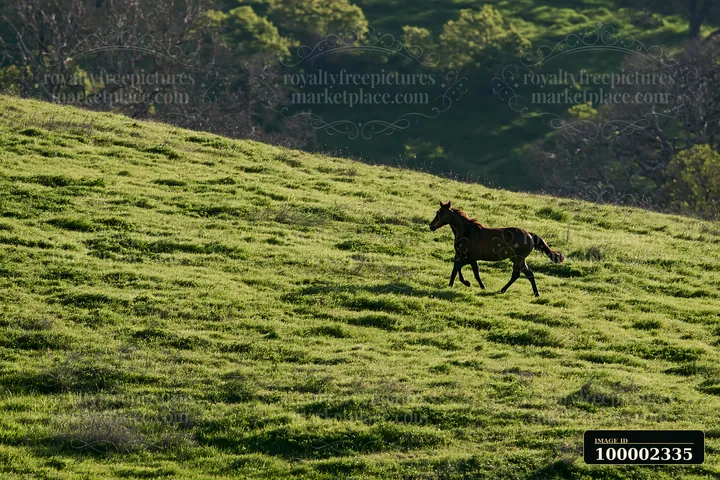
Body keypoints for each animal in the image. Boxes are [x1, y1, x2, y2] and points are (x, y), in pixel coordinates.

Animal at [428, 201, 565, 296]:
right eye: (437, 212)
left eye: (442, 213)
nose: (431, 226)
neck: (467, 233)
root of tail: (530, 235)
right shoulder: (461, 255)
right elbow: (461, 269)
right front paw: (454, 284)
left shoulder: (471, 257)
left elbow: (461, 267)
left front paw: (467, 283)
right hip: (517, 259)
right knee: (529, 274)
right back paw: (536, 294)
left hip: (518, 258)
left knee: (516, 274)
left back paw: (502, 290)